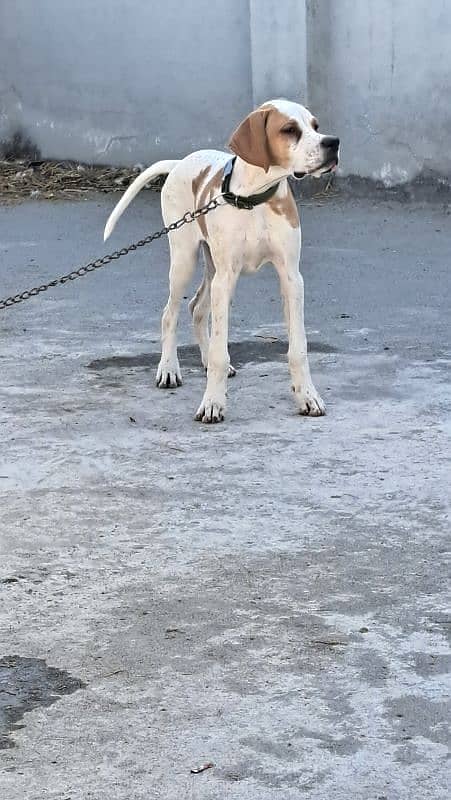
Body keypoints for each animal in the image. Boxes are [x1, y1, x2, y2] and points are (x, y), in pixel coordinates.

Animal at [105, 99, 340, 422]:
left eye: (316, 126)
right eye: (289, 129)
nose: (333, 143)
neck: (255, 199)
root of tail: (179, 163)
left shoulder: (291, 278)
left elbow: (298, 348)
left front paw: (307, 396)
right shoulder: (226, 276)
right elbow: (220, 349)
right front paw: (212, 403)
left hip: (215, 272)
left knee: (197, 309)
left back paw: (202, 360)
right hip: (186, 261)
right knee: (170, 313)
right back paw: (169, 369)